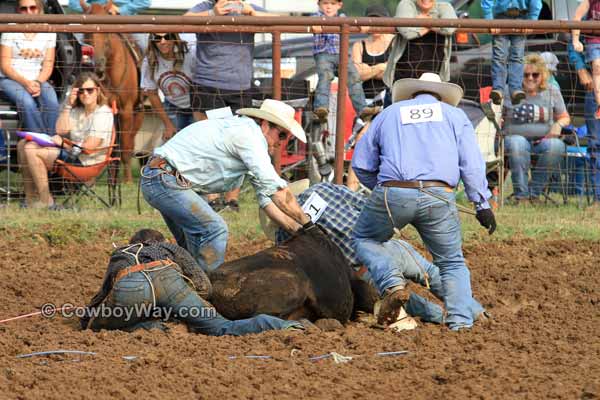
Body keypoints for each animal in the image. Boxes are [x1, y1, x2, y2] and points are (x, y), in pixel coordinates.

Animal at [78, 0, 143, 183]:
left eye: (106, 31)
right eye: (86, 31)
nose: (98, 65)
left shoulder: (126, 110)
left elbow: (126, 146)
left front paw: (127, 181)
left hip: (138, 113)